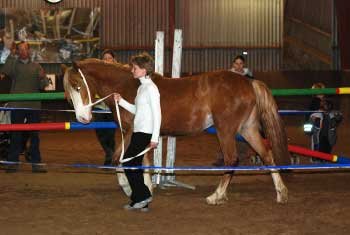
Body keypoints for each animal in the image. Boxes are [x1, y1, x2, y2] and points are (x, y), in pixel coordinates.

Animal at [63, 59, 290, 206]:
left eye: (77, 85)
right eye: (67, 93)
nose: (82, 119)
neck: (132, 86)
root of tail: (248, 82)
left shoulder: (132, 132)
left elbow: (125, 159)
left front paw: (136, 189)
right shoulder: (136, 134)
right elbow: (130, 160)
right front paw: (139, 187)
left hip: (226, 130)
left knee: (231, 159)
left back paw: (216, 196)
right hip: (247, 129)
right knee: (267, 155)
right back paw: (281, 193)